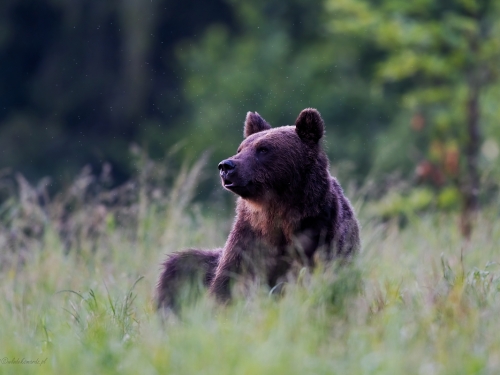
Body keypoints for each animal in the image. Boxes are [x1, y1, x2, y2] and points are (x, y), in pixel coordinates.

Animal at [156, 108, 360, 312]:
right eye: (240, 148)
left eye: (263, 149)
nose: (226, 166)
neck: (276, 211)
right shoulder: (248, 239)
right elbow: (229, 283)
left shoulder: (319, 233)